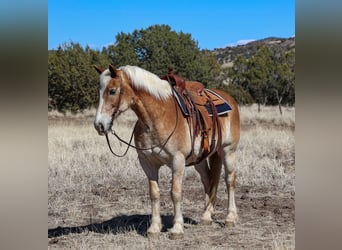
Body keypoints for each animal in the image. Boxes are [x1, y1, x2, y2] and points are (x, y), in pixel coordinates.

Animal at [92, 64, 239, 238]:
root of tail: (230, 99)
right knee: (208, 180)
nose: (99, 125)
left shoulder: (177, 161)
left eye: (112, 91)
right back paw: (206, 216)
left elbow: (175, 193)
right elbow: (154, 194)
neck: (157, 117)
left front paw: (177, 228)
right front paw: (154, 228)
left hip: (228, 150)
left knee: (229, 180)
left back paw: (230, 218)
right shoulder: (147, 163)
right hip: (200, 159)